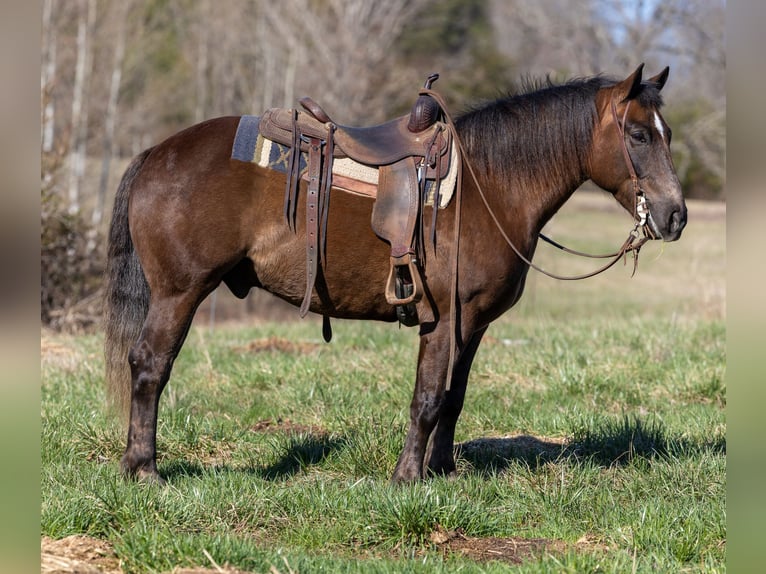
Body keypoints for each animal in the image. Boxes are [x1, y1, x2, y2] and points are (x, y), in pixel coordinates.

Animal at [103, 63, 688, 486]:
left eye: (666, 133)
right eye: (638, 134)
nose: (675, 215)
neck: (491, 186)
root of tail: (157, 152)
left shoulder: (473, 324)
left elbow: (454, 396)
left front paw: (443, 471)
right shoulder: (444, 318)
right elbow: (427, 397)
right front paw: (408, 477)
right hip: (179, 293)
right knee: (149, 366)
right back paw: (144, 469)